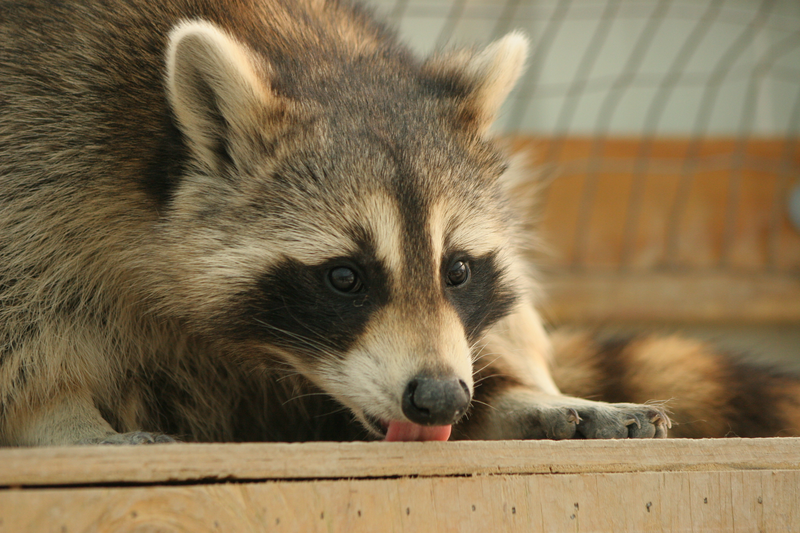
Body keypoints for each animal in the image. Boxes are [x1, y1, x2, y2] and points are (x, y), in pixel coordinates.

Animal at [0, 0, 796, 446]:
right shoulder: (43, 148)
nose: (440, 396)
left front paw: (520, 396)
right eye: (344, 277)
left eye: (459, 269)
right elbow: (26, 322)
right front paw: (58, 415)